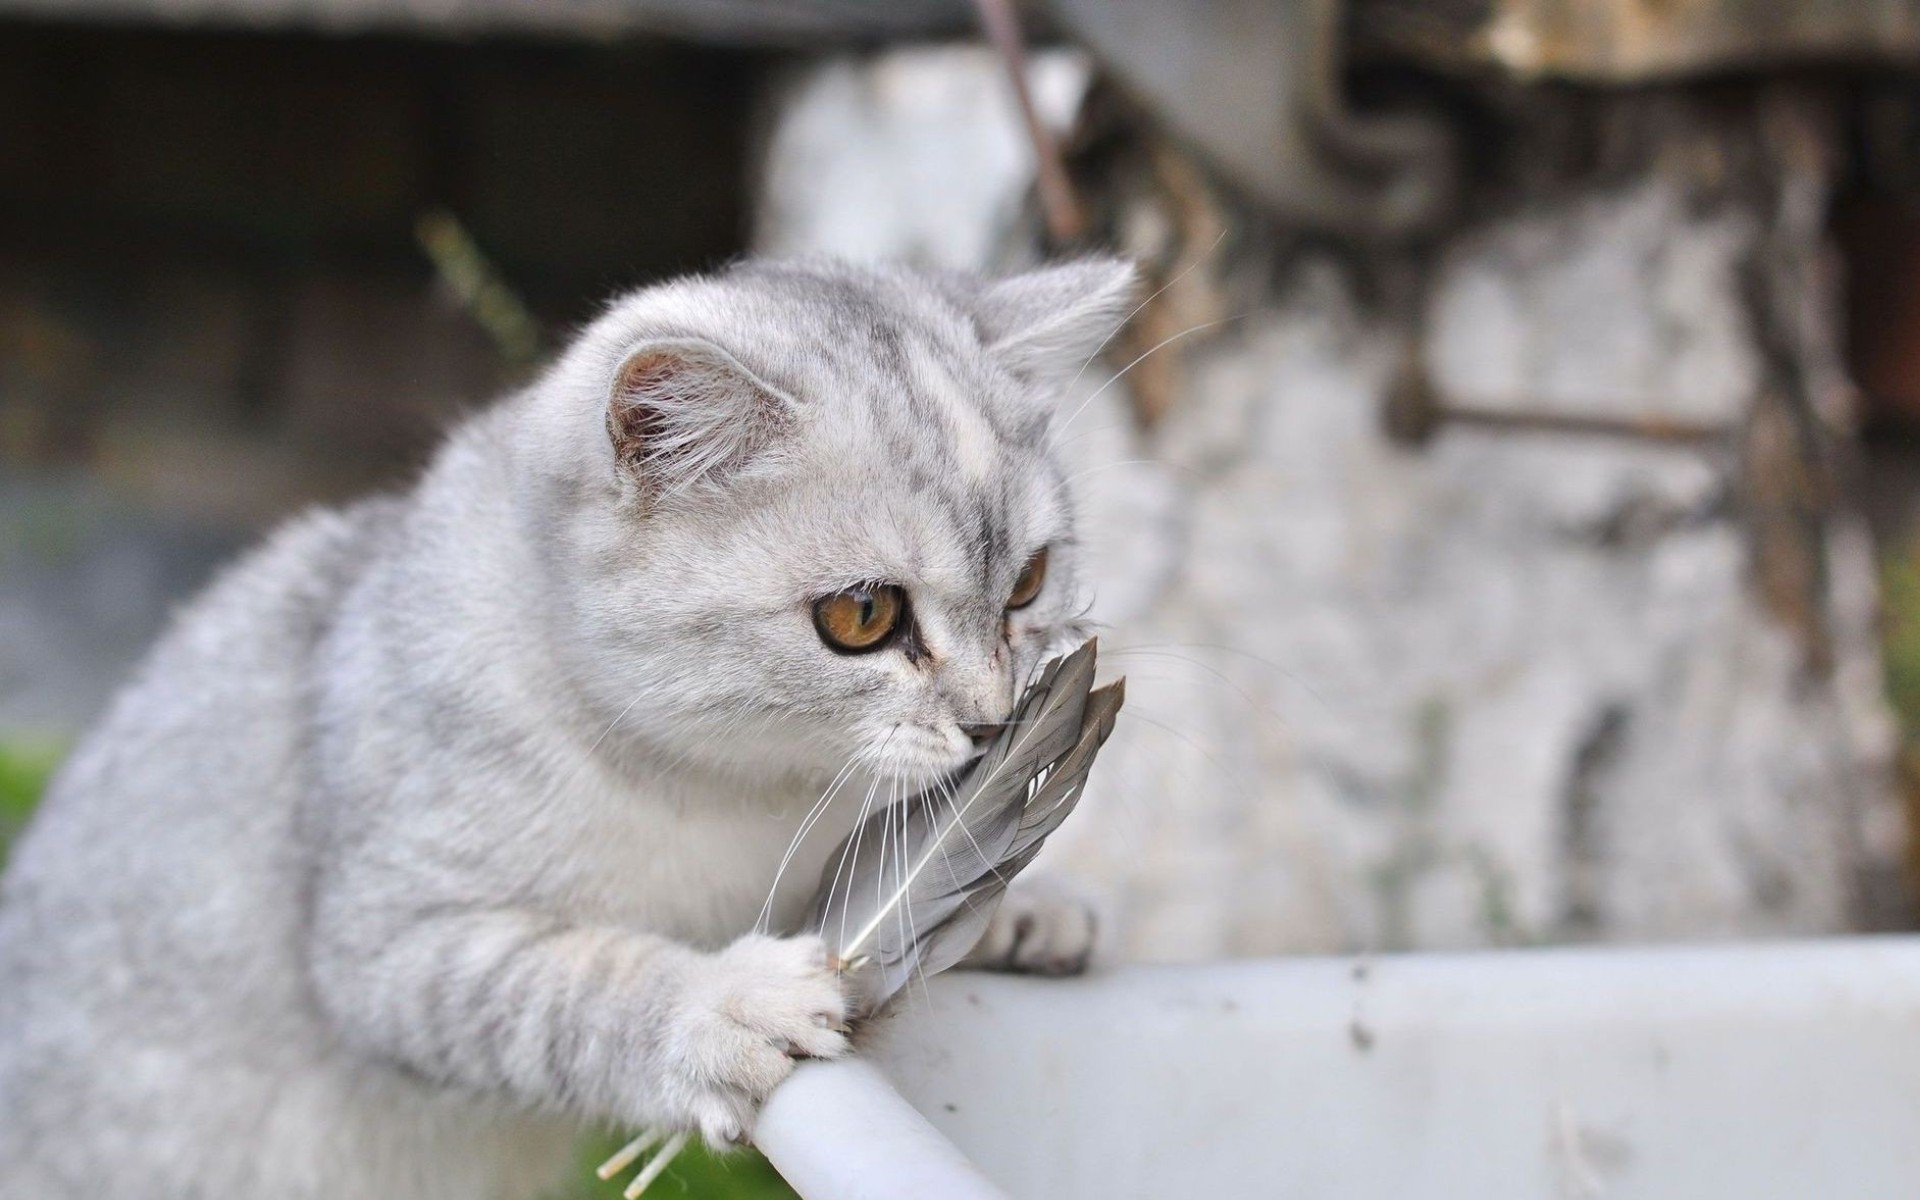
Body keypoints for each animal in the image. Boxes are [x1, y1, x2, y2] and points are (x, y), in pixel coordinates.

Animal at [0, 257, 1128, 1190]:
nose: (994, 722)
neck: (738, 793)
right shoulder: (391, 942)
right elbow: (574, 984)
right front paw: (719, 1009)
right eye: (863, 617)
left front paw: (1026, 906)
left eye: (1030, 582)